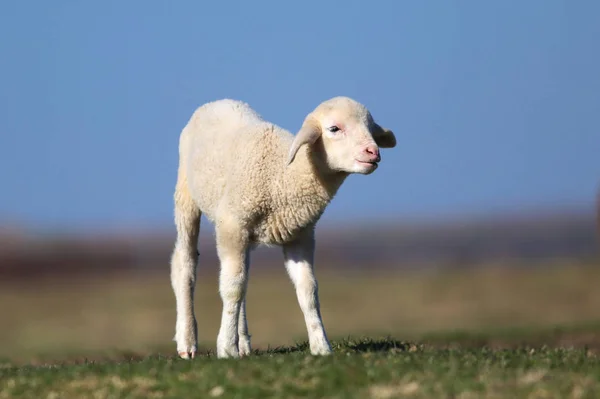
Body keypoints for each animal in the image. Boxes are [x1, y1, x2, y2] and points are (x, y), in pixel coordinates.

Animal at [169, 96, 396, 360]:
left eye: (370, 128)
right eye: (334, 129)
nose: (373, 152)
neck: (284, 174)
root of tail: (218, 101)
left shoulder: (300, 236)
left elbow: (308, 291)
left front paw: (321, 346)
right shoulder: (232, 225)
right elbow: (232, 287)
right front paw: (225, 348)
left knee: (244, 278)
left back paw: (243, 342)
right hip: (186, 195)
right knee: (185, 264)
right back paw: (187, 341)